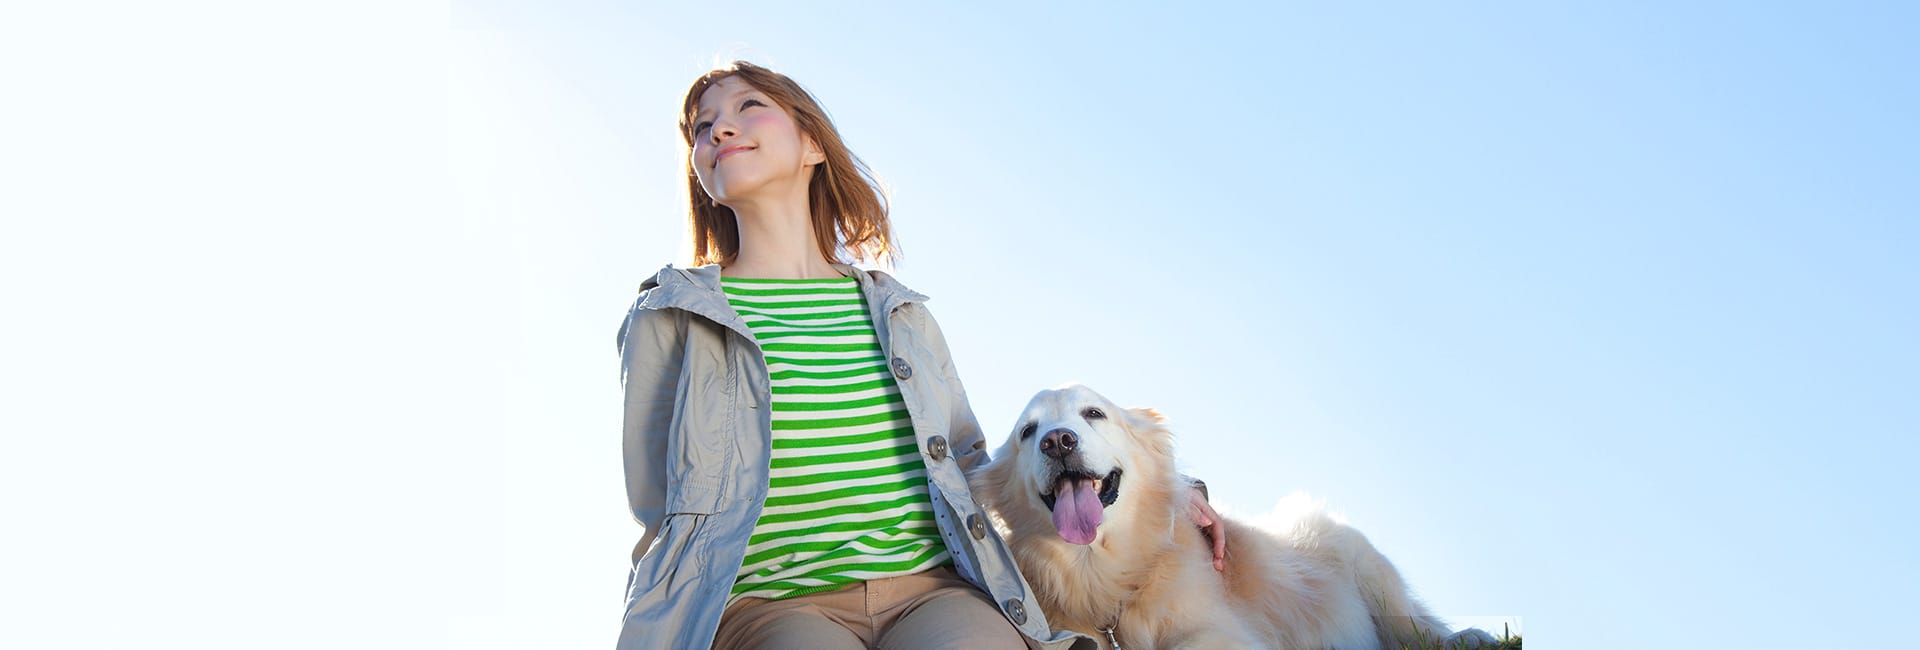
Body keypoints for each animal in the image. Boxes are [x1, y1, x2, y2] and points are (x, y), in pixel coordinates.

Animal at [967, 387, 1489, 650]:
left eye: (1093, 413)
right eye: (1028, 432)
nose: (1058, 441)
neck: (1107, 575)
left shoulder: (1219, 632)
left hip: (1362, 561)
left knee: (1418, 628)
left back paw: (1470, 636)